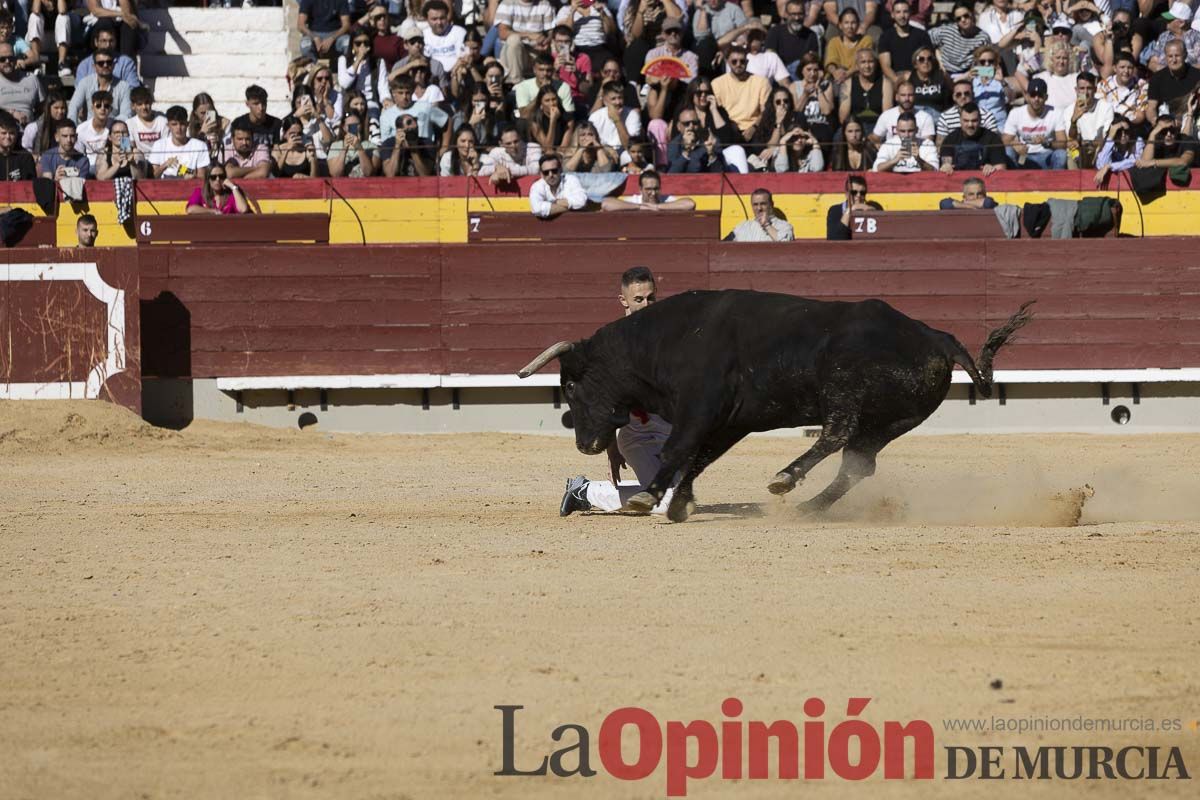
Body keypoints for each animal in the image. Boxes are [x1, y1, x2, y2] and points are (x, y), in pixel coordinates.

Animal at [516, 291, 1032, 522]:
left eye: (571, 383)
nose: (585, 444)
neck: (666, 341)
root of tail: (936, 336)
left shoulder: (699, 407)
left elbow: (679, 451)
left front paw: (652, 497)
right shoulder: (729, 421)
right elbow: (699, 458)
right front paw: (679, 503)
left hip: (843, 386)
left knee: (836, 433)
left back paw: (785, 478)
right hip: (894, 419)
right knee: (858, 462)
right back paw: (809, 506)